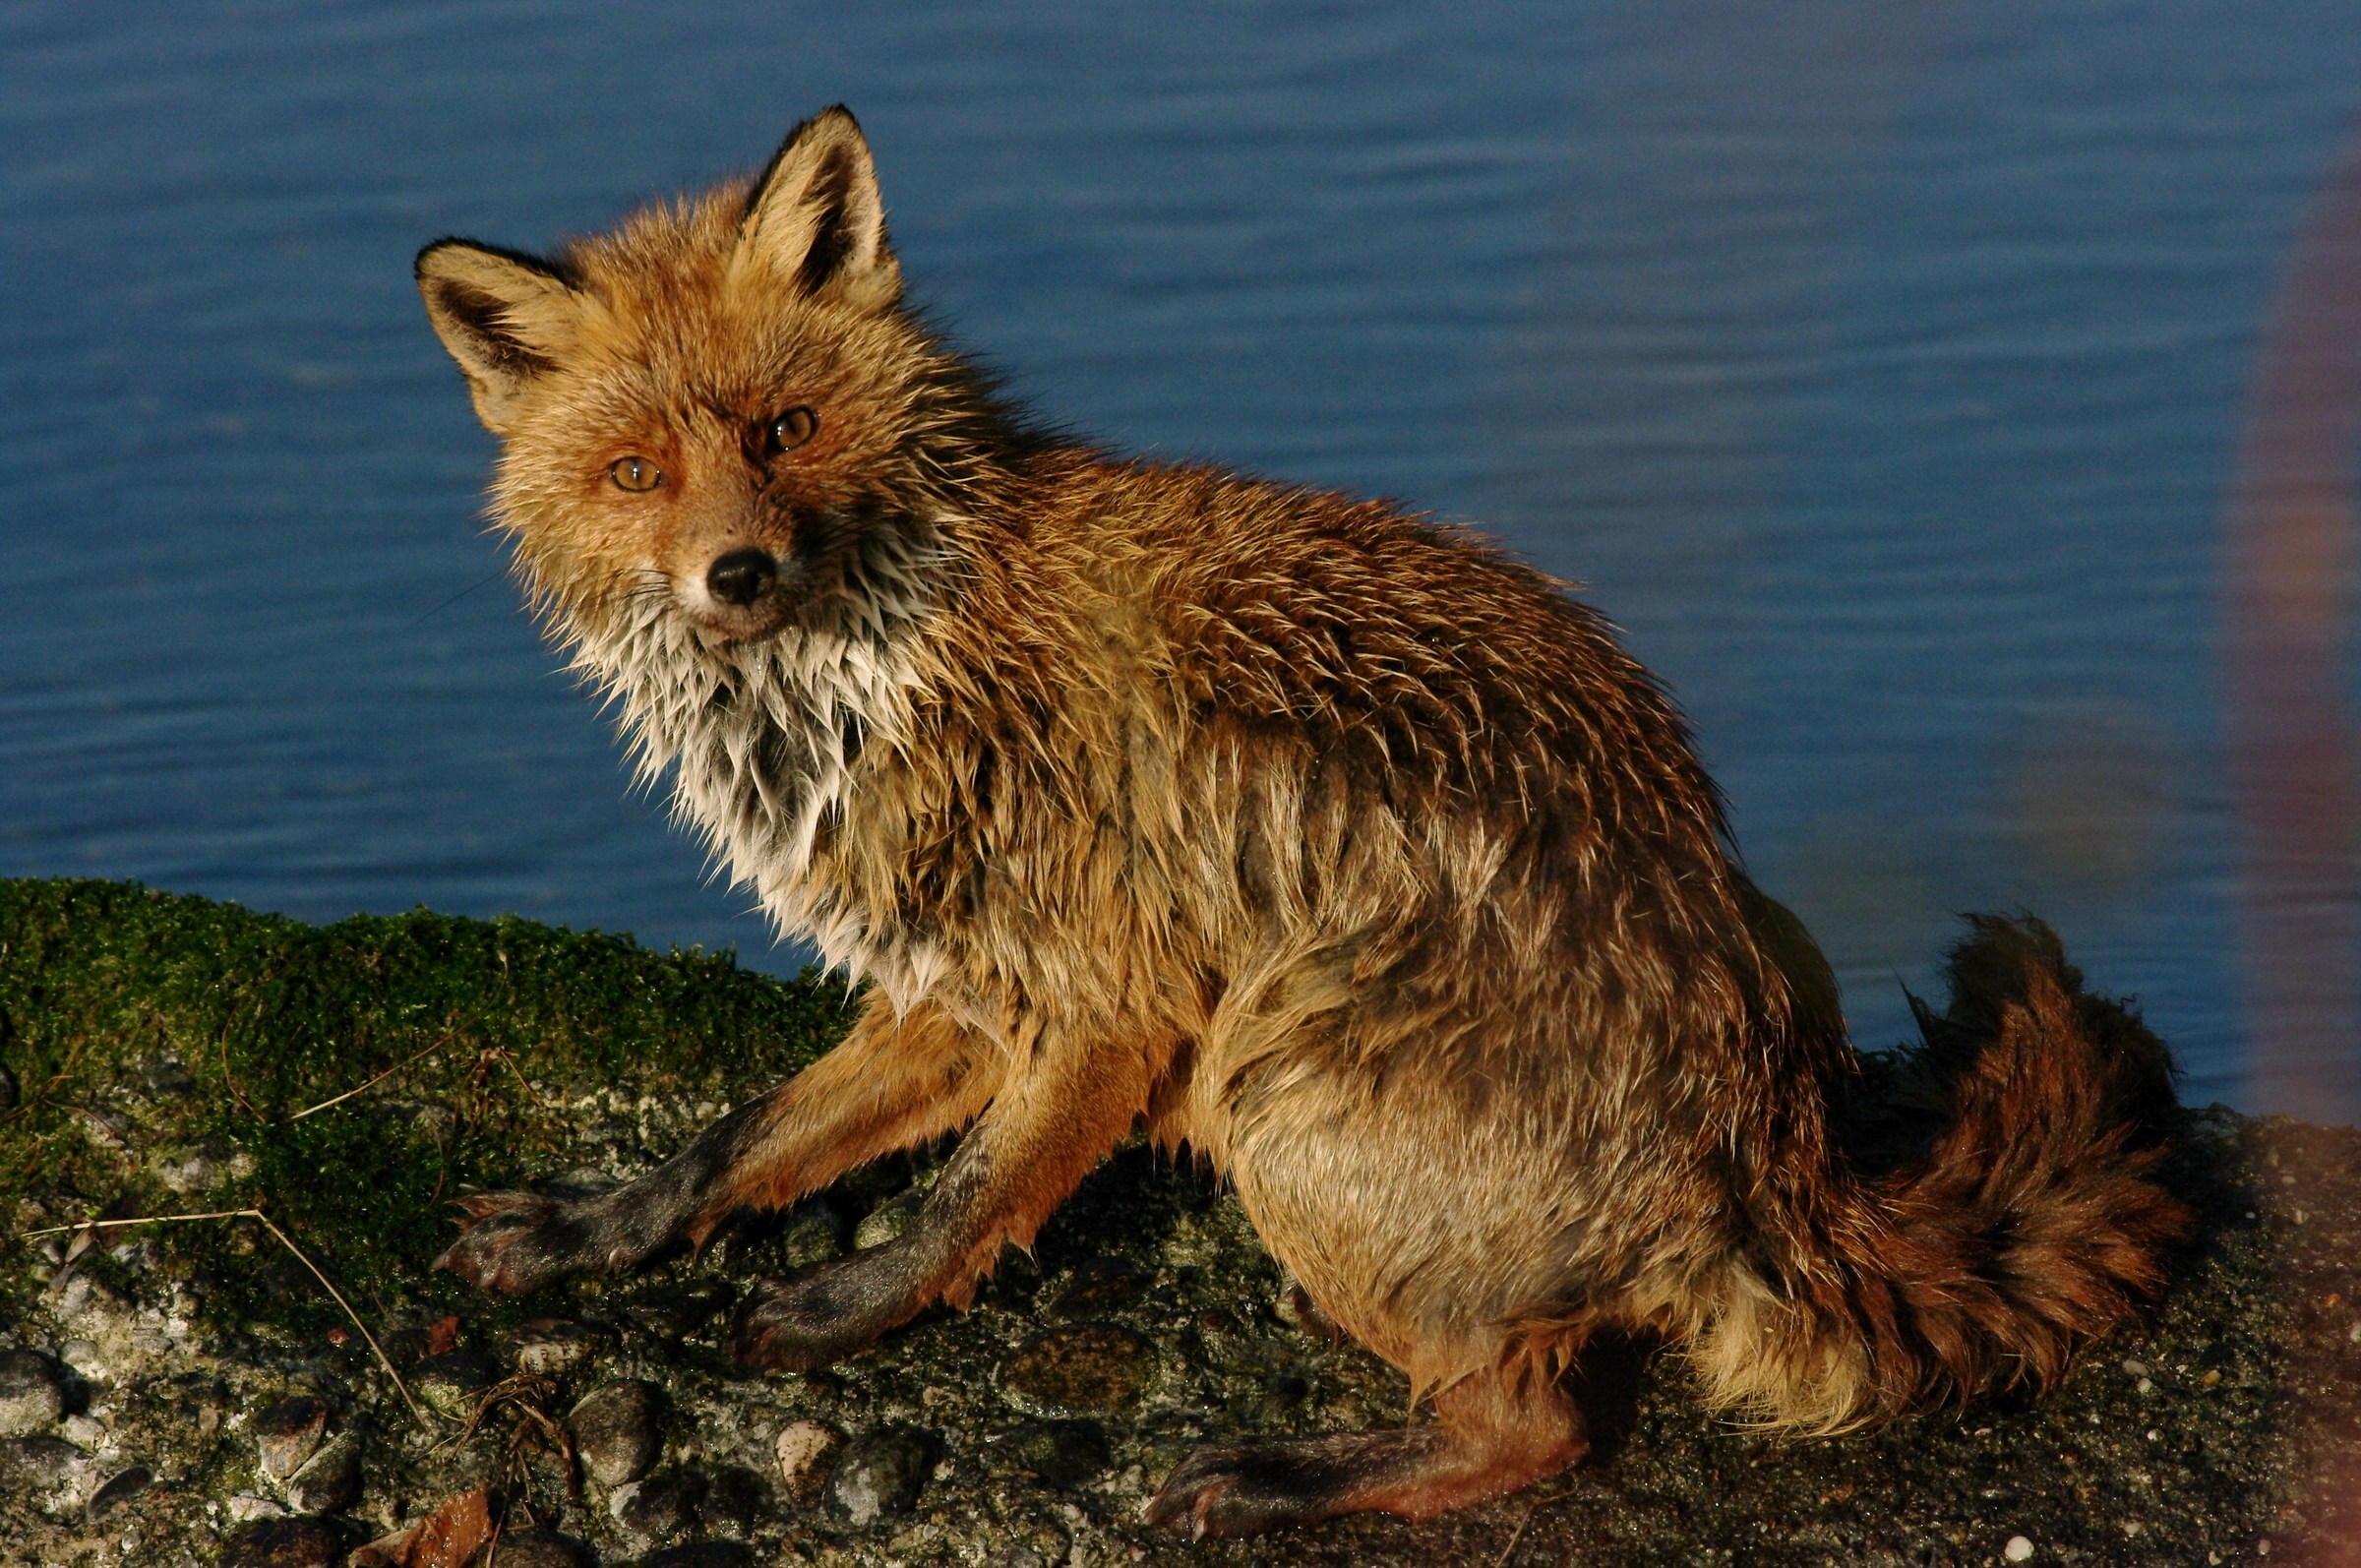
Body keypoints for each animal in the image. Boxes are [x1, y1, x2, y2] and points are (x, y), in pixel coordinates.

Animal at [415, 107, 2190, 1538]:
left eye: (783, 429)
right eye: (636, 471)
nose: (737, 575)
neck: (887, 657)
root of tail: (1775, 1144)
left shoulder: (1111, 995)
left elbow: (962, 1202)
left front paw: (845, 1307)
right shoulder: (962, 985)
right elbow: (746, 1136)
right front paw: (599, 1223)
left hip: (1275, 1090)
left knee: (1536, 1422)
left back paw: (1290, 1475)